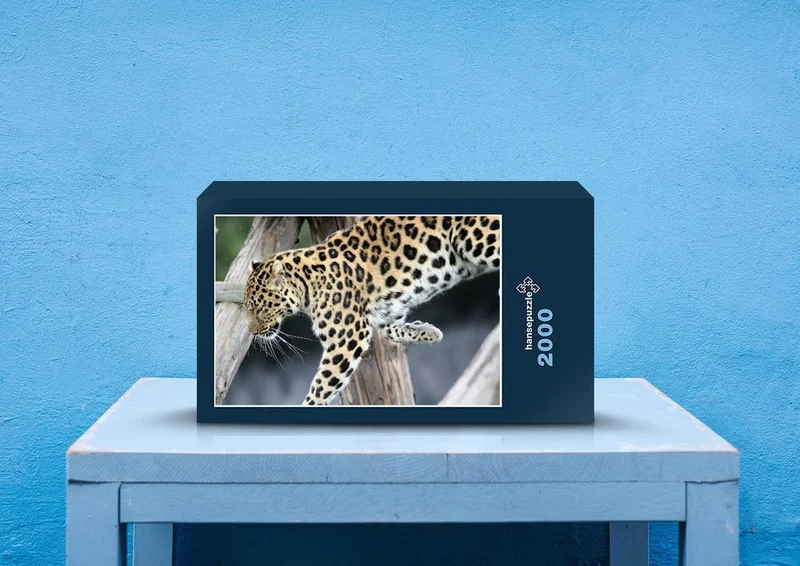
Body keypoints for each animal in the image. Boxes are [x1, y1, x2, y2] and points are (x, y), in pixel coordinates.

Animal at [243, 215, 501, 405]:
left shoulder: (347, 338)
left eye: (259, 307)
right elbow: (390, 330)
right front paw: (428, 332)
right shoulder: (386, 311)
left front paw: (311, 404)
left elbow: (323, 384)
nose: (252, 332)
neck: (306, 284)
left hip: (477, 239)